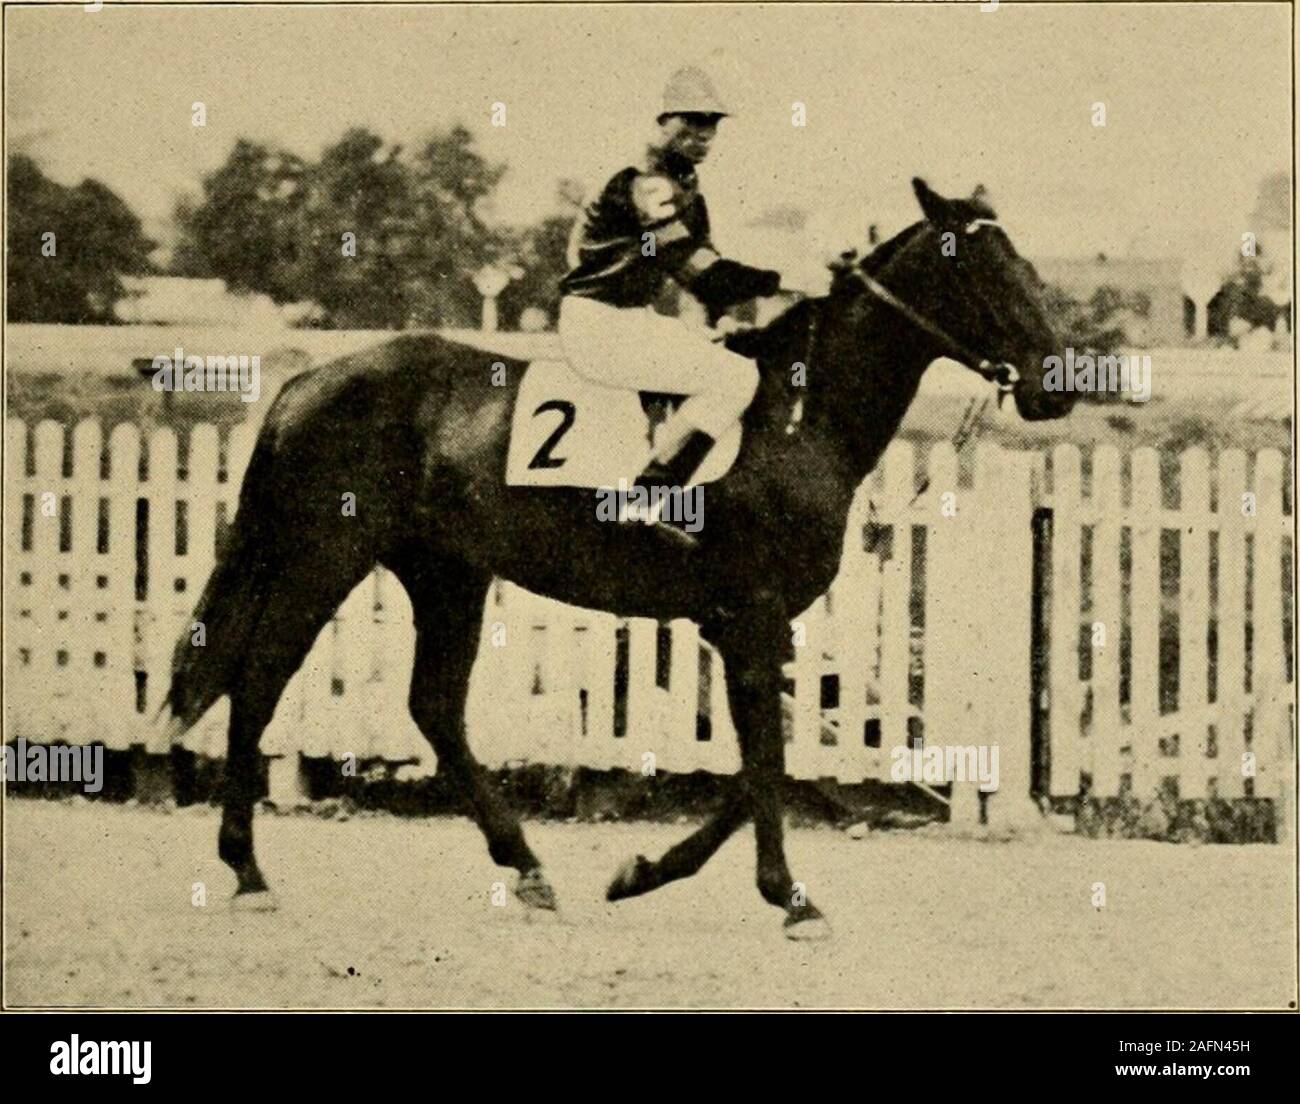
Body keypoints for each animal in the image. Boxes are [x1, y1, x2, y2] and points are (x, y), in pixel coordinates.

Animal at [162, 180, 1076, 941]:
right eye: (986, 272)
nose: (1056, 384)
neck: (795, 414)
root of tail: (307, 380)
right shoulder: (749, 616)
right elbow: (767, 762)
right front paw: (791, 898)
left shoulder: (750, 626)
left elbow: (763, 763)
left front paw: (643, 871)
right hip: (325, 559)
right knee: (262, 679)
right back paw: (247, 871)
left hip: (449, 573)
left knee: (434, 708)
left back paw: (528, 868)